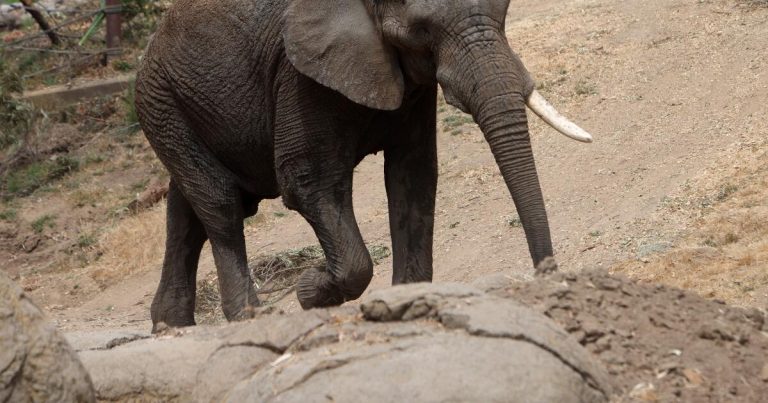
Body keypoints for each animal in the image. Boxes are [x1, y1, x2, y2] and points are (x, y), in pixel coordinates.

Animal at [134, 0, 593, 331]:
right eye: (422, 30)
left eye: (506, 11)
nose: (548, 277)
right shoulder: (299, 76)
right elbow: (307, 182)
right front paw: (309, 290)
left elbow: (413, 175)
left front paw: (407, 303)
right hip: (161, 102)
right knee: (221, 205)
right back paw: (249, 316)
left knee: (186, 211)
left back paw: (169, 325)